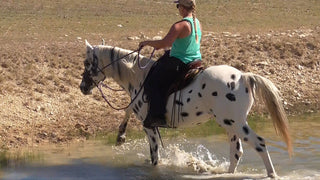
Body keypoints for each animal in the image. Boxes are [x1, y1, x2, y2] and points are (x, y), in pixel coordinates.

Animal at [80, 40, 292, 177]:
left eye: (87, 62)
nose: (82, 87)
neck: (138, 76)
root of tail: (243, 76)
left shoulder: (149, 126)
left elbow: (155, 156)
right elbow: (128, 109)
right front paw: (120, 135)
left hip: (235, 123)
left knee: (259, 144)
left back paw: (272, 174)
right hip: (231, 124)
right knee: (236, 152)